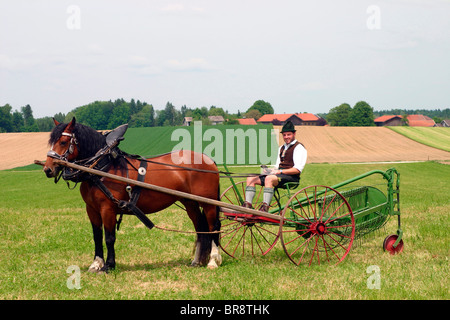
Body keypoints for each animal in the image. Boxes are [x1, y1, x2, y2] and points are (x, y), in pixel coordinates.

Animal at [43, 117, 222, 272]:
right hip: (189, 202)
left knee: (213, 227)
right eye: (51, 142)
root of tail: (209, 160)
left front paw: (109, 265)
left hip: (209, 202)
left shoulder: (107, 209)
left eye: (63, 142)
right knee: (200, 228)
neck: (102, 168)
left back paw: (213, 260)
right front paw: (96, 264)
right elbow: (97, 236)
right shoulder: (91, 209)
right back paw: (197, 261)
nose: (48, 169)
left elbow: (109, 237)